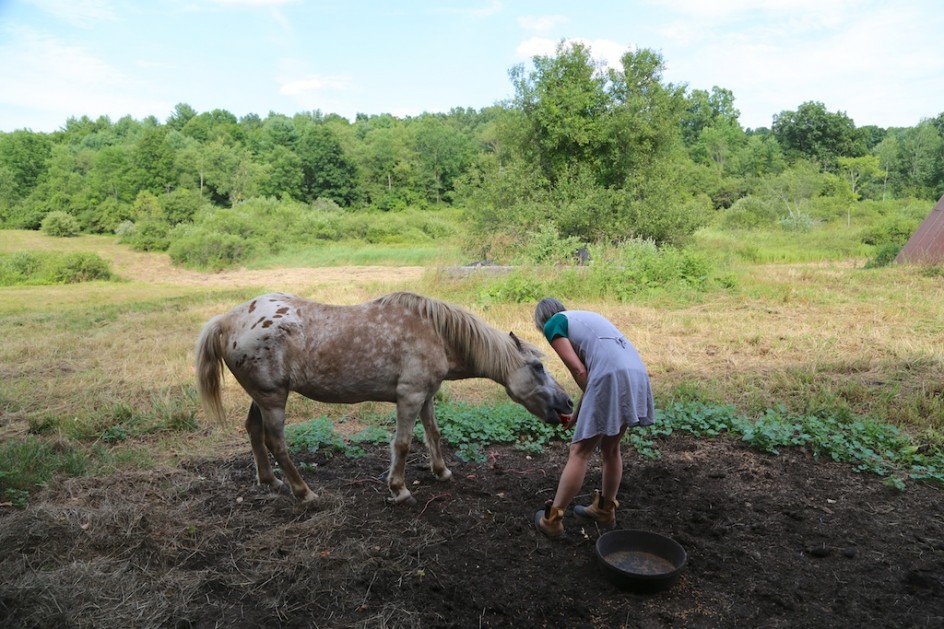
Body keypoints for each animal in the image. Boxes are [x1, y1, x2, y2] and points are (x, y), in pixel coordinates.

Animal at [195, 292, 572, 502]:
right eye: (538, 366)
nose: (567, 403)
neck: (436, 334)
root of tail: (226, 321)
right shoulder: (410, 396)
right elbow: (402, 444)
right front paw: (399, 489)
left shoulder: (426, 396)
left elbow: (433, 433)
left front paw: (442, 472)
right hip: (273, 399)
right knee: (277, 443)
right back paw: (304, 493)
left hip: (262, 397)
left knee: (253, 431)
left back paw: (269, 481)